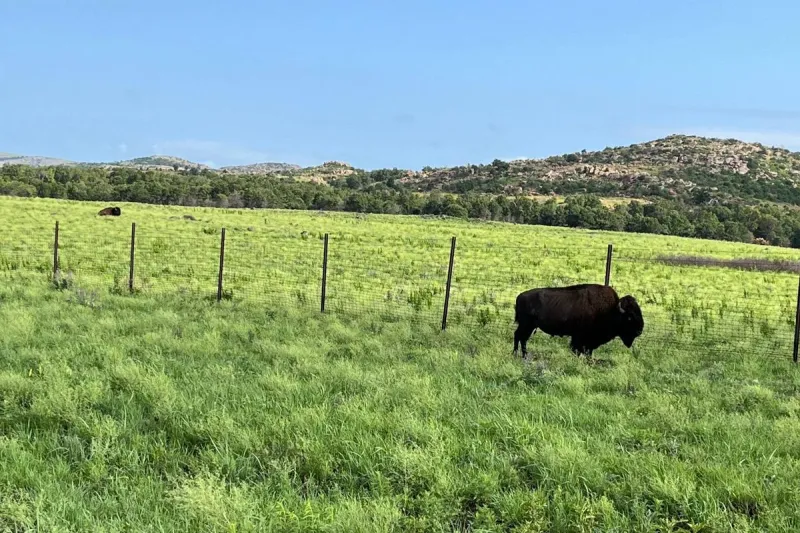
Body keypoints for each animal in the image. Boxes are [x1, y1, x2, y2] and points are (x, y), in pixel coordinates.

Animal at [513, 283, 644, 358]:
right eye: (630, 317)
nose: (640, 330)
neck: (611, 310)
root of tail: (519, 296)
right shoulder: (579, 337)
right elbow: (577, 350)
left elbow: (587, 352)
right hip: (526, 324)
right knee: (518, 336)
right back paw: (516, 354)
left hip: (530, 326)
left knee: (522, 338)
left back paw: (524, 356)